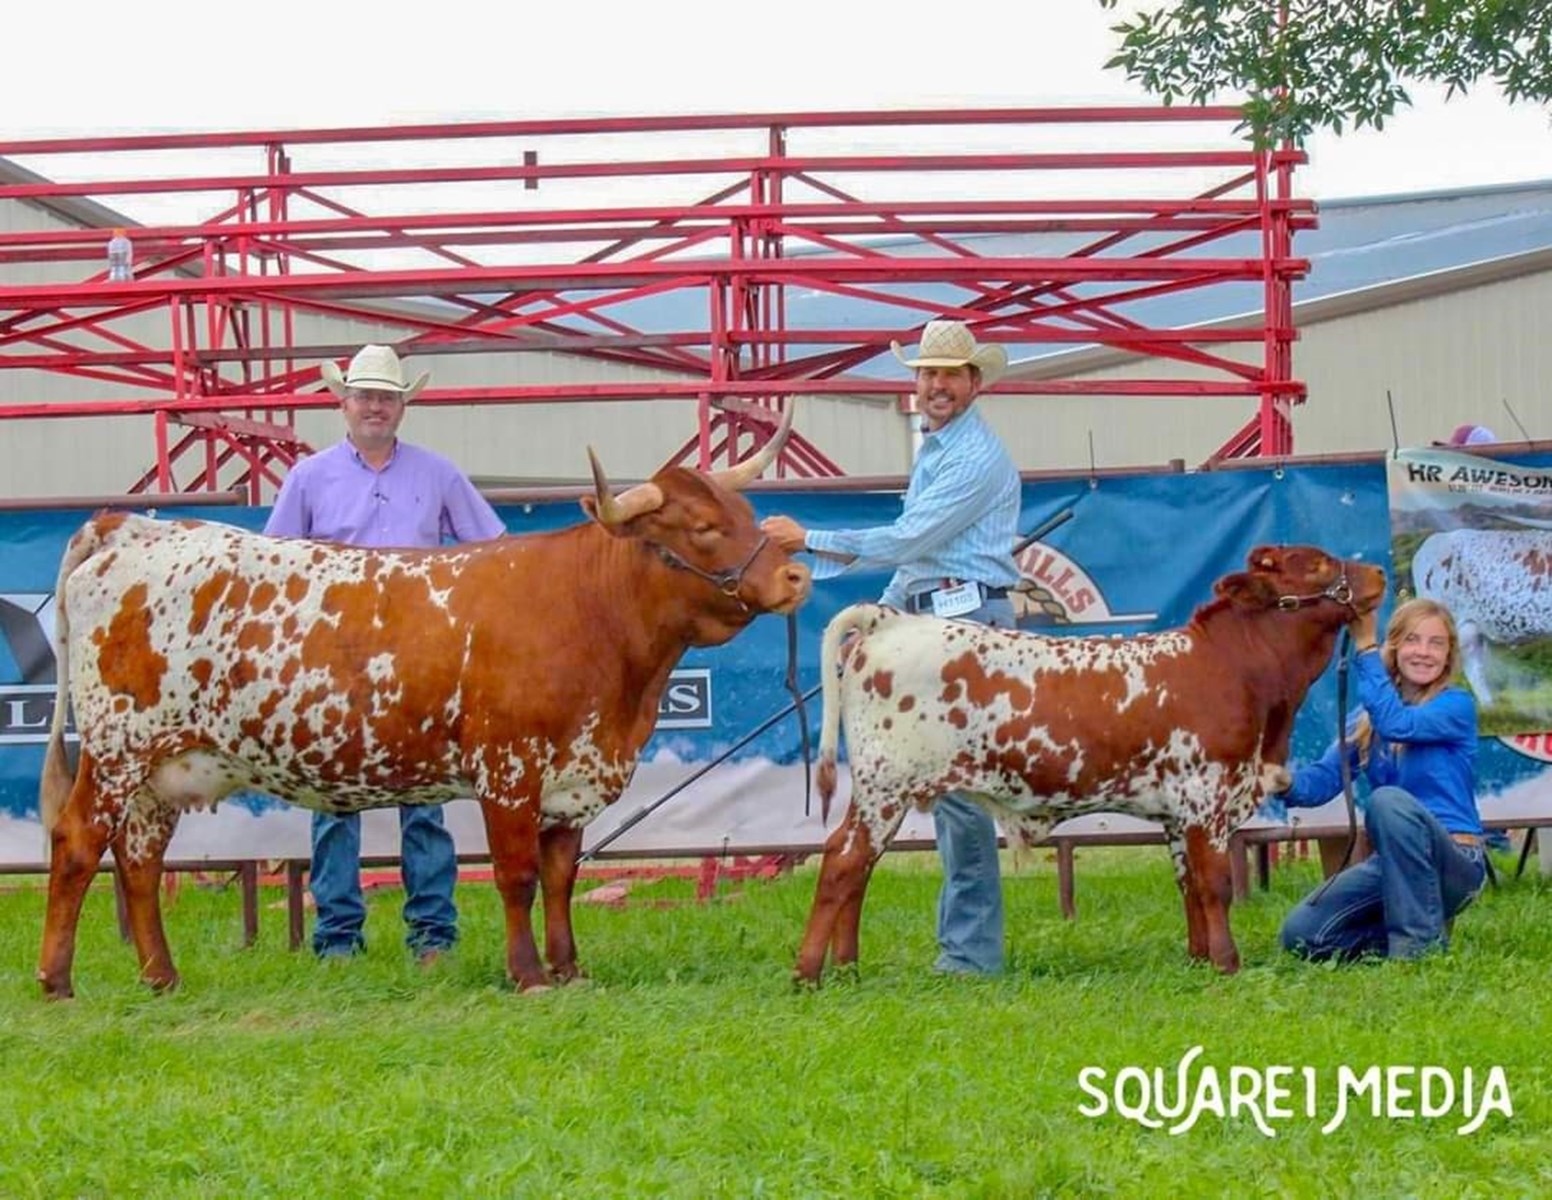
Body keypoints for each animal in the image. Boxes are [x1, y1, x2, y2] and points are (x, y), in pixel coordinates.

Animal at [38, 412, 811, 998]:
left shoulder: (574, 775)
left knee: (140, 858)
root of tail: (135, 530)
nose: (796, 575)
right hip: (116, 751)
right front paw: (528, 974)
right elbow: (518, 876)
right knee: (79, 842)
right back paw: (57, 981)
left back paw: (161, 977)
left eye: (747, 513)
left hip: (163, 768)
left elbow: (561, 877)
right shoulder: (509, 770)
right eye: (703, 527)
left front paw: (569, 969)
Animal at [794, 544, 1385, 982]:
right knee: (842, 862)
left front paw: (1198, 960)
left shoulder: (1178, 816)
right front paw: (1227, 964)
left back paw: (846, 967)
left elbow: (1191, 886)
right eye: (1316, 564)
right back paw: (809, 974)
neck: (1235, 668)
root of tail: (891, 621)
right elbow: (1215, 884)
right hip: (885, 789)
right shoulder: (1207, 802)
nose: (1379, 572)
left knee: (857, 869)